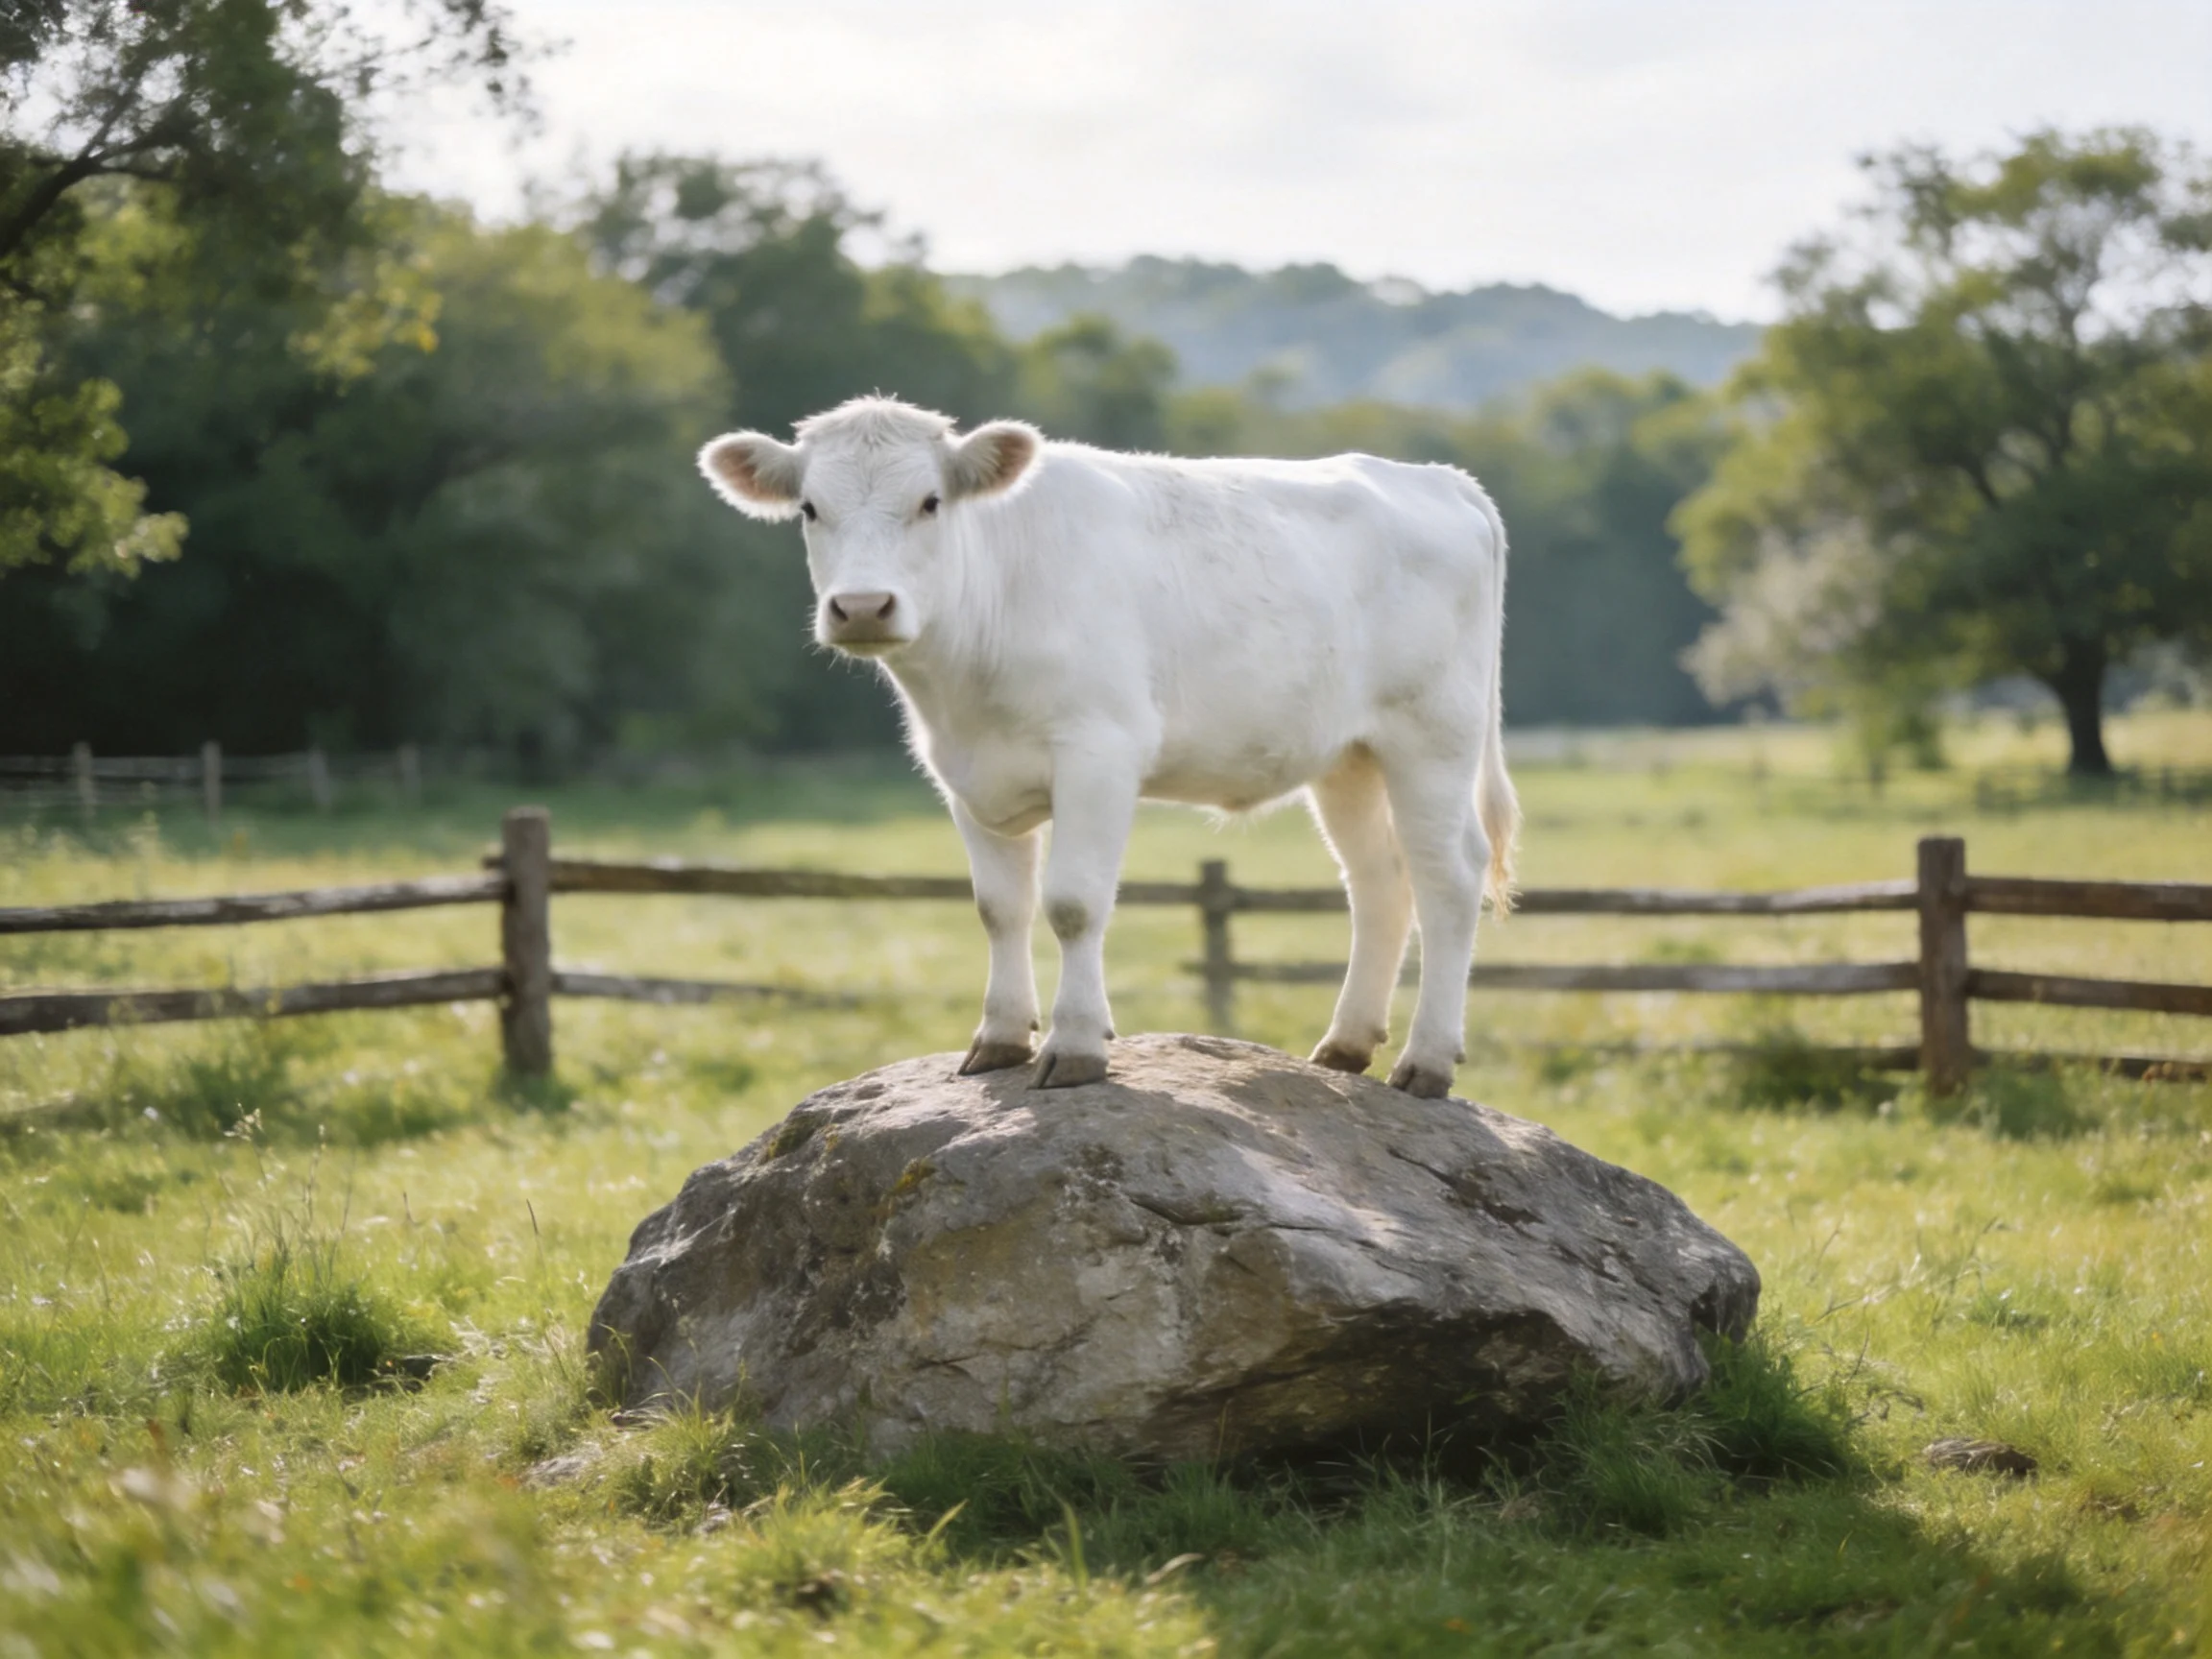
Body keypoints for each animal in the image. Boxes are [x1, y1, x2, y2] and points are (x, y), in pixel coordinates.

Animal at [699, 397, 1518, 1099]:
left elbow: (1071, 903)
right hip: (1350, 757)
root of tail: (1438, 479)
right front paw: (1000, 1038)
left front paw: (1076, 1046)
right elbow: (999, 908)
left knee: (1449, 878)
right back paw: (1345, 1045)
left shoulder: (1100, 752)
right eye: (810, 508)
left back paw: (1425, 1061)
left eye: (930, 501)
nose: (863, 606)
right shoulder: (964, 775)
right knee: (1378, 881)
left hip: (1433, 737)